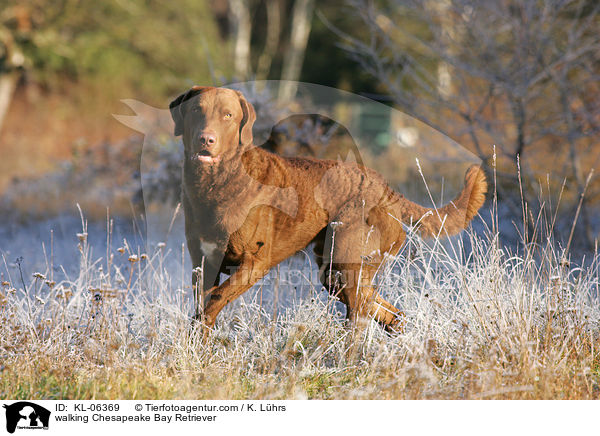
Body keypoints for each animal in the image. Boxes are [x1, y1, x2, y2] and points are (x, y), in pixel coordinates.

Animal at [169, 85, 488, 332]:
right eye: (196, 110)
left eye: (228, 115)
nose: (206, 139)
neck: (217, 183)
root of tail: (385, 188)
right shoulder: (202, 262)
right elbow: (203, 305)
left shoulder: (254, 263)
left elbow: (214, 301)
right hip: (334, 271)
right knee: (387, 311)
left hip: (347, 264)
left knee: (360, 318)